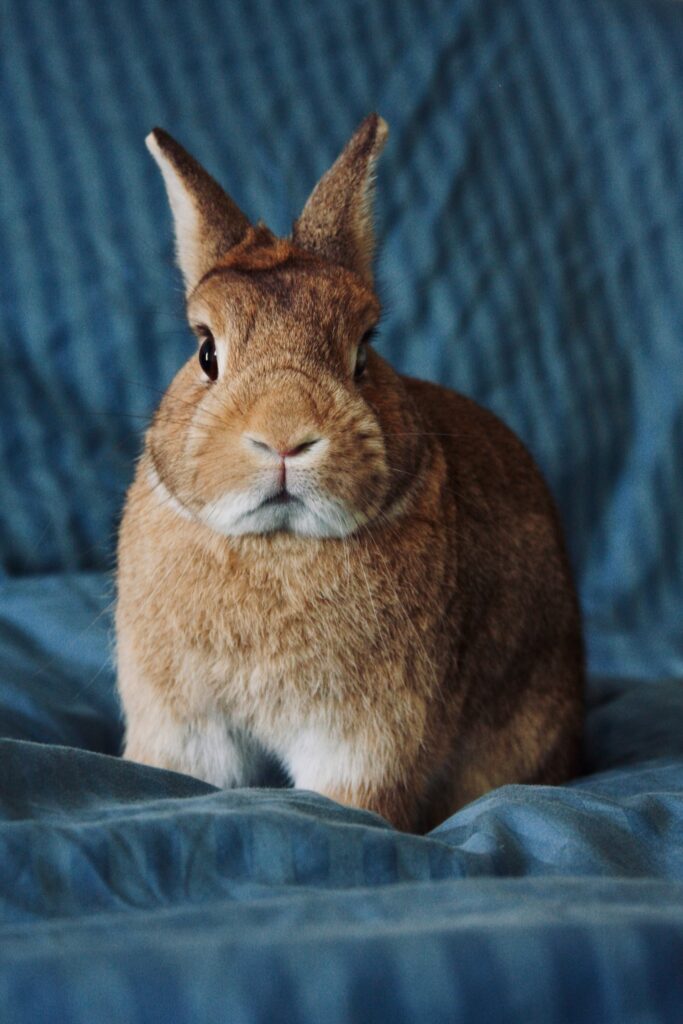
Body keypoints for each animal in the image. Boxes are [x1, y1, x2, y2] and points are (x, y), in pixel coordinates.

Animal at [116, 112, 581, 831]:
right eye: (205, 352)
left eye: (364, 350)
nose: (284, 434)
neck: (277, 544)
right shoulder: (186, 722)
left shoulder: (368, 736)